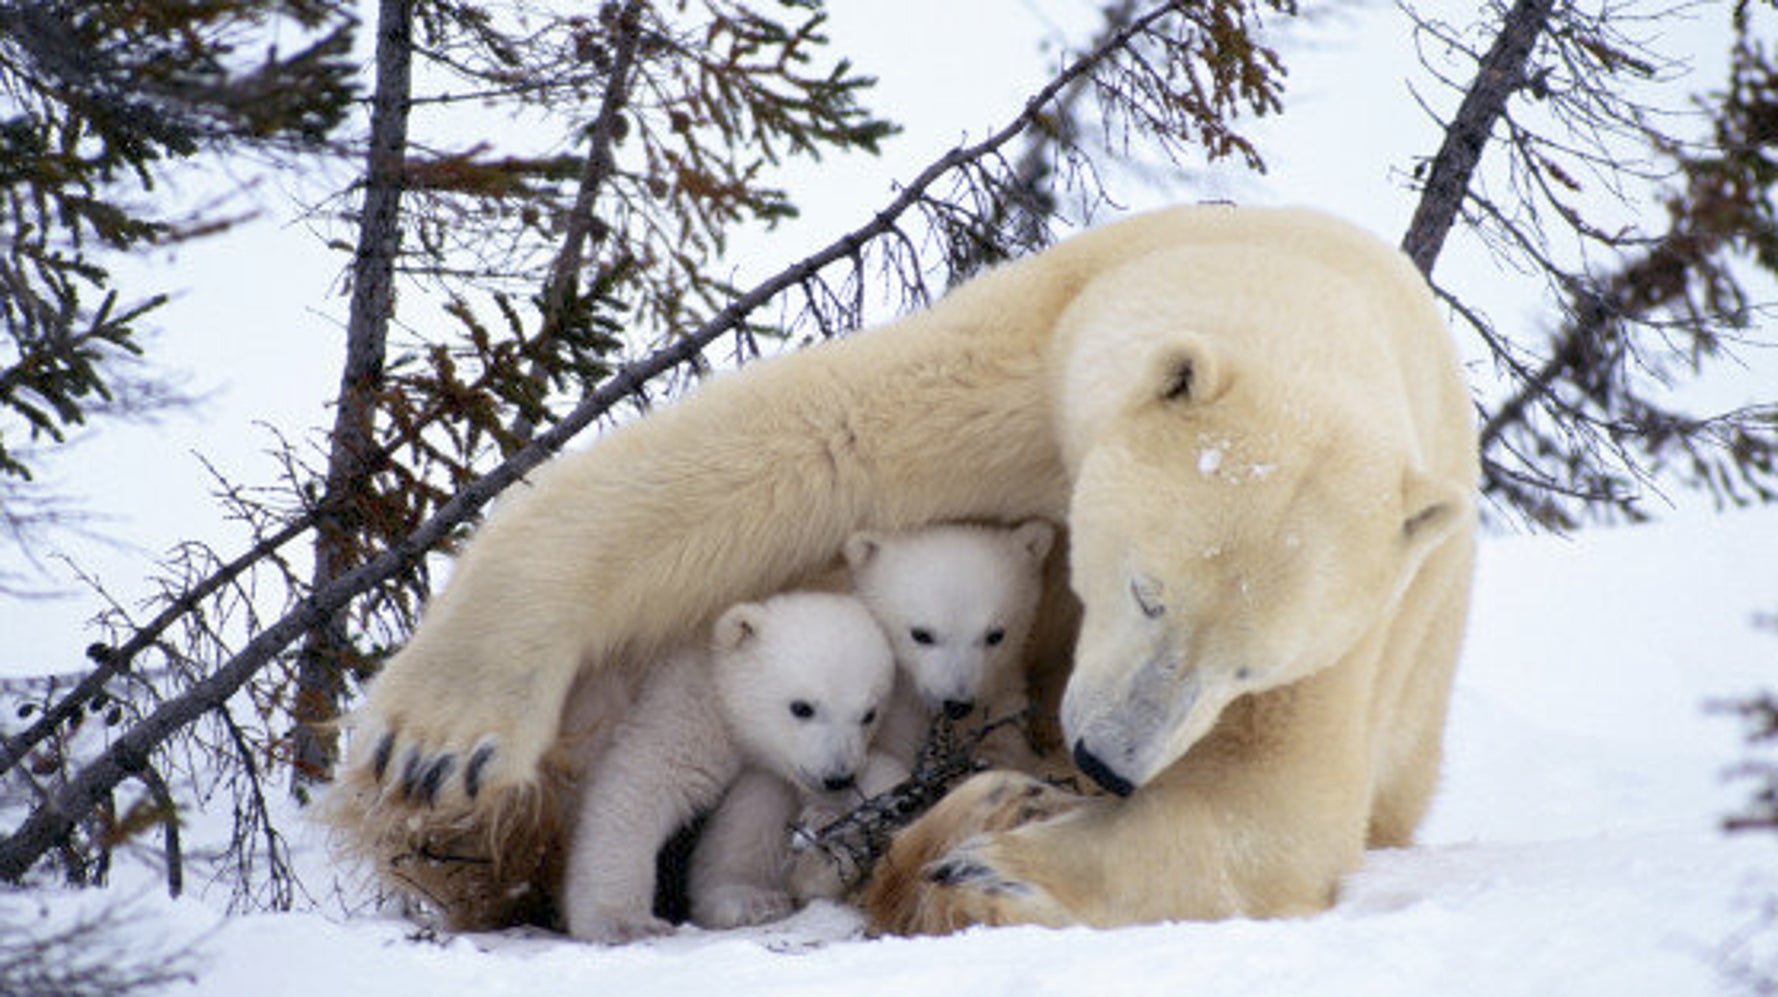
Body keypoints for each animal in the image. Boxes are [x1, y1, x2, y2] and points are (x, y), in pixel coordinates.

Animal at [565, 590, 896, 938]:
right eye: (802, 707)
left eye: (869, 714)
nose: (838, 777)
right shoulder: (682, 707)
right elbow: (641, 782)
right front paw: (624, 921)